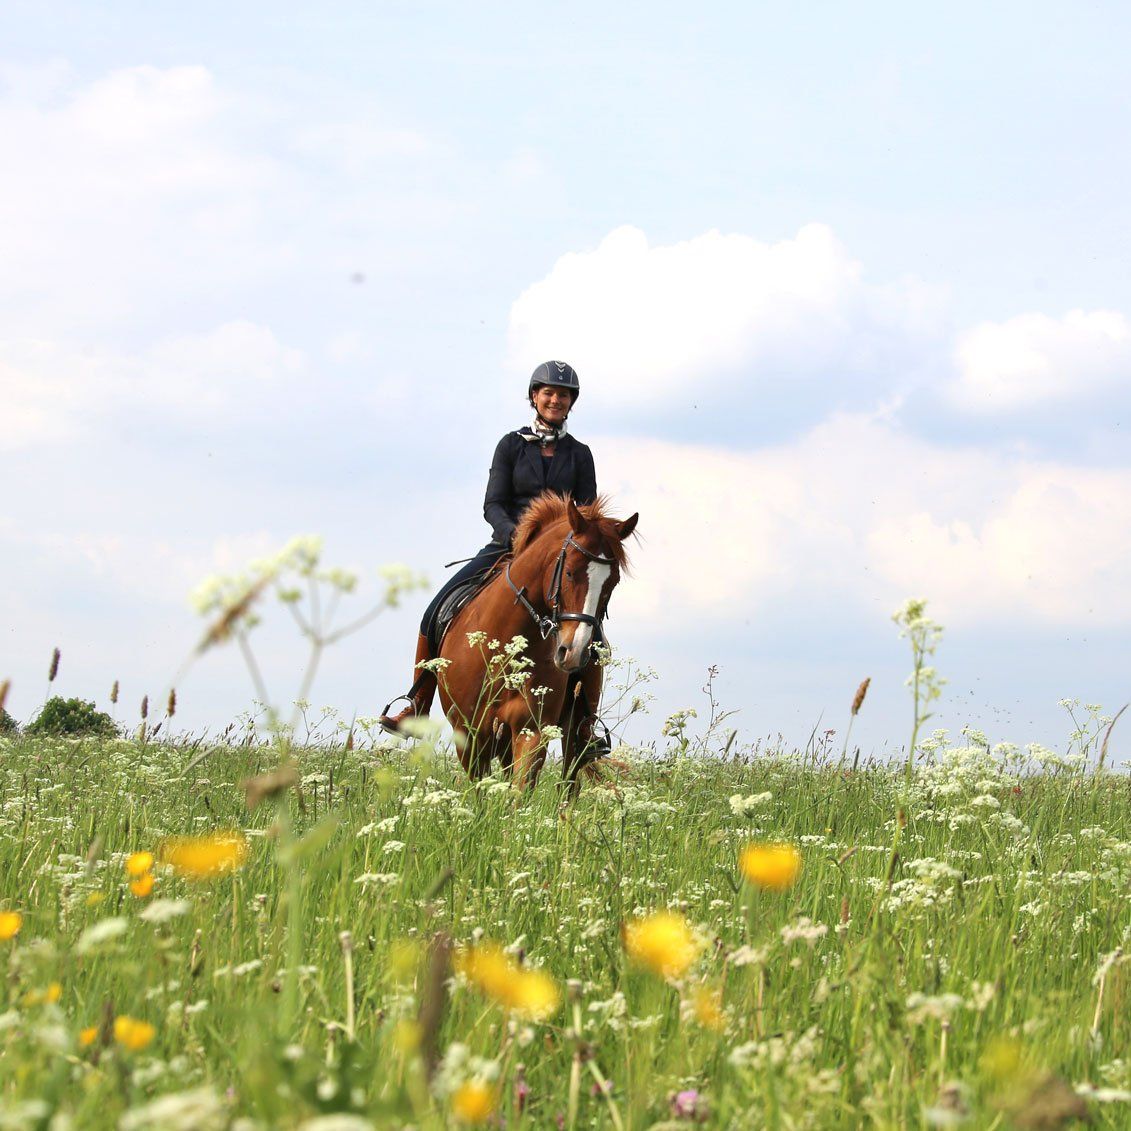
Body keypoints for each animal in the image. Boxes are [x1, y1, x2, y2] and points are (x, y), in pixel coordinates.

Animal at [432, 493, 638, 790]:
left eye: (613, 582)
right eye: (570, 572)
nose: (574, 652)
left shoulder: (532, 731)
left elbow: (521, 792)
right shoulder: (468, 737)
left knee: (570, 783)